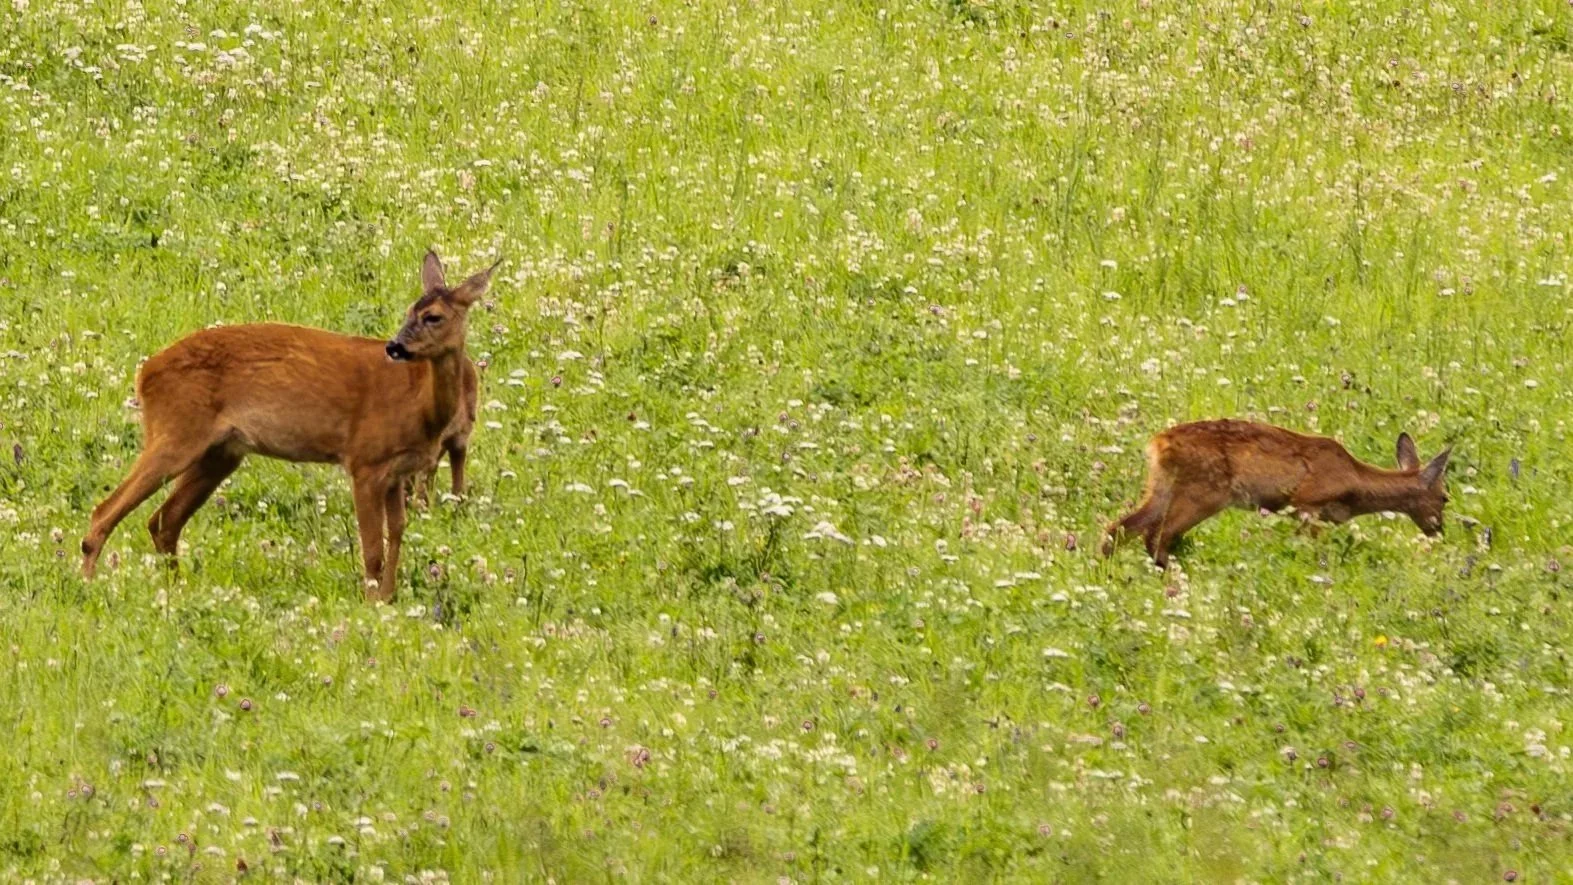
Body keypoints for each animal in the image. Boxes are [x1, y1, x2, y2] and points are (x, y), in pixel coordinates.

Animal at [81, 250, 499, 602]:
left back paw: (176, 591)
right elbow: (372, 550)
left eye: (433, 316)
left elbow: (396, 534)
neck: (420, 406)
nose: (395, 347)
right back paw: (87, 584)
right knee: (105, 510)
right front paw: (371, 604)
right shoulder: (364, 461)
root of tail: (144, 373)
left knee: (163, 520)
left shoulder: (397, 471)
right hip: (176, 432)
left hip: (221, 452)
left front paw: (388, 599)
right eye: (410, 310)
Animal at [1102, 419, 1452, 568]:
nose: (1438, 529)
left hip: (1162, 487)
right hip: (1204, 492)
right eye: (1445, 497)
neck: (1355, 481)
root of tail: (1157, 444)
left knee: (1119, 528)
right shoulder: (1308, 503)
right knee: (1157, 535)